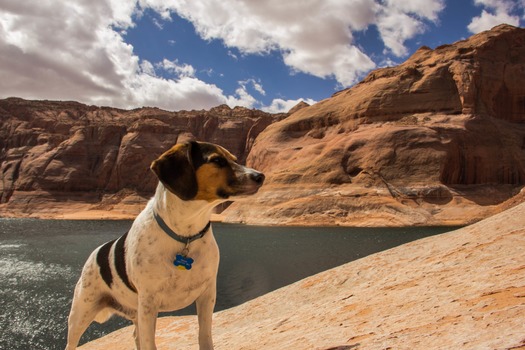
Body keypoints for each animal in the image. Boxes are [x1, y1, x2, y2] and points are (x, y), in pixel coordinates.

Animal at [65, 141, 264, 348]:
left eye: (234, 159)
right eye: (217, 160)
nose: (260, 176)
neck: (185, 234)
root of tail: (95, 252)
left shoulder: (207, 294)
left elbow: (205, 336)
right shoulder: (148, 303)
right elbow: (149, 343)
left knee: (136, 336)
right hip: (81, 313)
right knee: (72, 342)